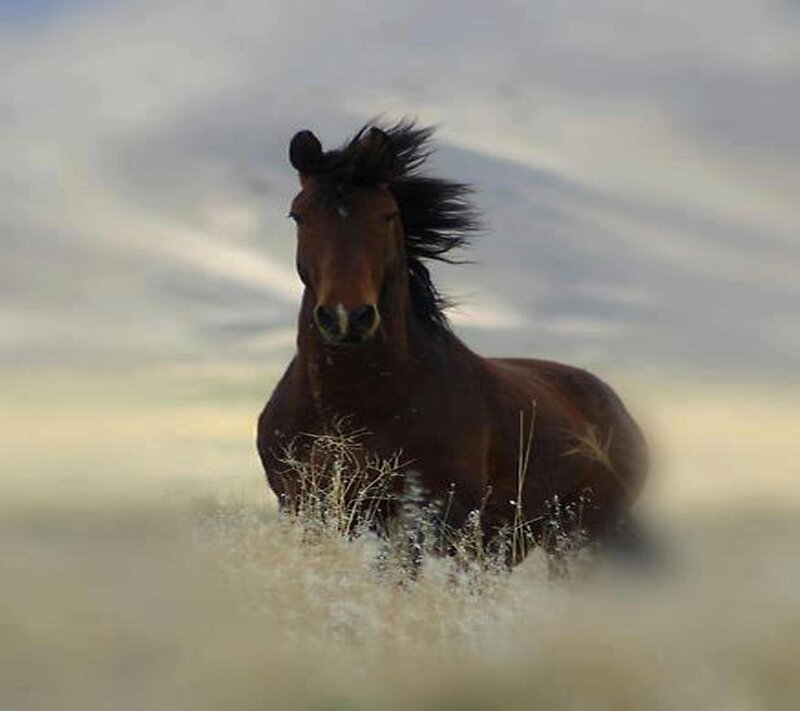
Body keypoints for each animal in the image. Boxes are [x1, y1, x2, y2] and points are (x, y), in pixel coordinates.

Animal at [257, 120, 648, 568]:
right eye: (299, 215)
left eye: (387, 215)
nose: (345, 317)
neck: (349, 405)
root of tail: (616, 406)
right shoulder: (308, 511)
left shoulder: (427, 523)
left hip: (575, 542)